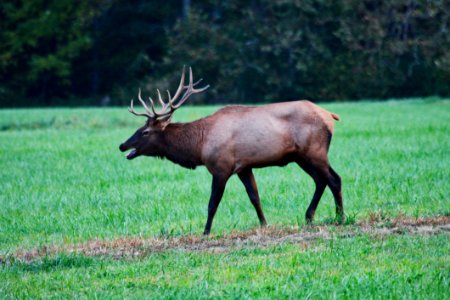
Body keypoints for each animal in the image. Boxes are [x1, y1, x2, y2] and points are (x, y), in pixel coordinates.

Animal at [119, 67, 344, 236]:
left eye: (145, 131)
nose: (122, 145)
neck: (199, 146)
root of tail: (330, 115)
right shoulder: (244, 167)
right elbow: (255, 197)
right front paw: (264, 224)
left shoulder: (221, 167)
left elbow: (213, 203)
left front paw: (206, 232)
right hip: (301, 157)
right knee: (321, 180)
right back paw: (310, 217)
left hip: (314, 151)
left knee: (334, 179)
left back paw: (340, 217)